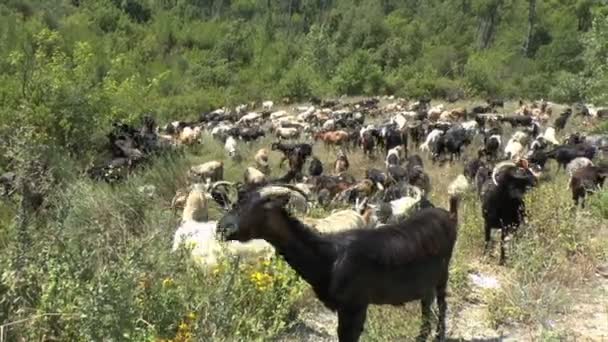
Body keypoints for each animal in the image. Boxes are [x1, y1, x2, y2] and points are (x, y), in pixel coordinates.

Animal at [216, 191, 458, 340]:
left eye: (253, 208)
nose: (222, 228)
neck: (329, 256)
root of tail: (450, 214)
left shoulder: (355, 305)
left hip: (443, 272)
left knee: (443, 303)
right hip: (426, 280)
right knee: (426, 304)